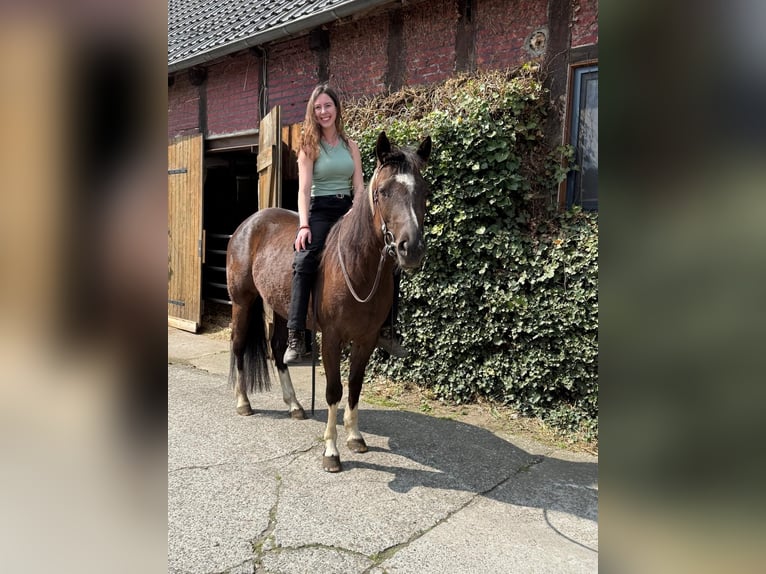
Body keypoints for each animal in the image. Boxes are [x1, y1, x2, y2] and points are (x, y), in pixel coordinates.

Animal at [226, 131, 432, 472]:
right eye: (384, 191)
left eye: (424, 190)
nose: (411, 248)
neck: (357, 265)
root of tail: (250, 223)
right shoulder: (332, 339)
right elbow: (334, 390)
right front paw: (331, 451)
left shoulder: (366, 340)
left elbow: (355, 386)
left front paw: (355, 437)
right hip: (243, 301)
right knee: (240, 346)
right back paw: (243, 402)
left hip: (281, 308)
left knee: (279, 350)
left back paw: (295, 405)